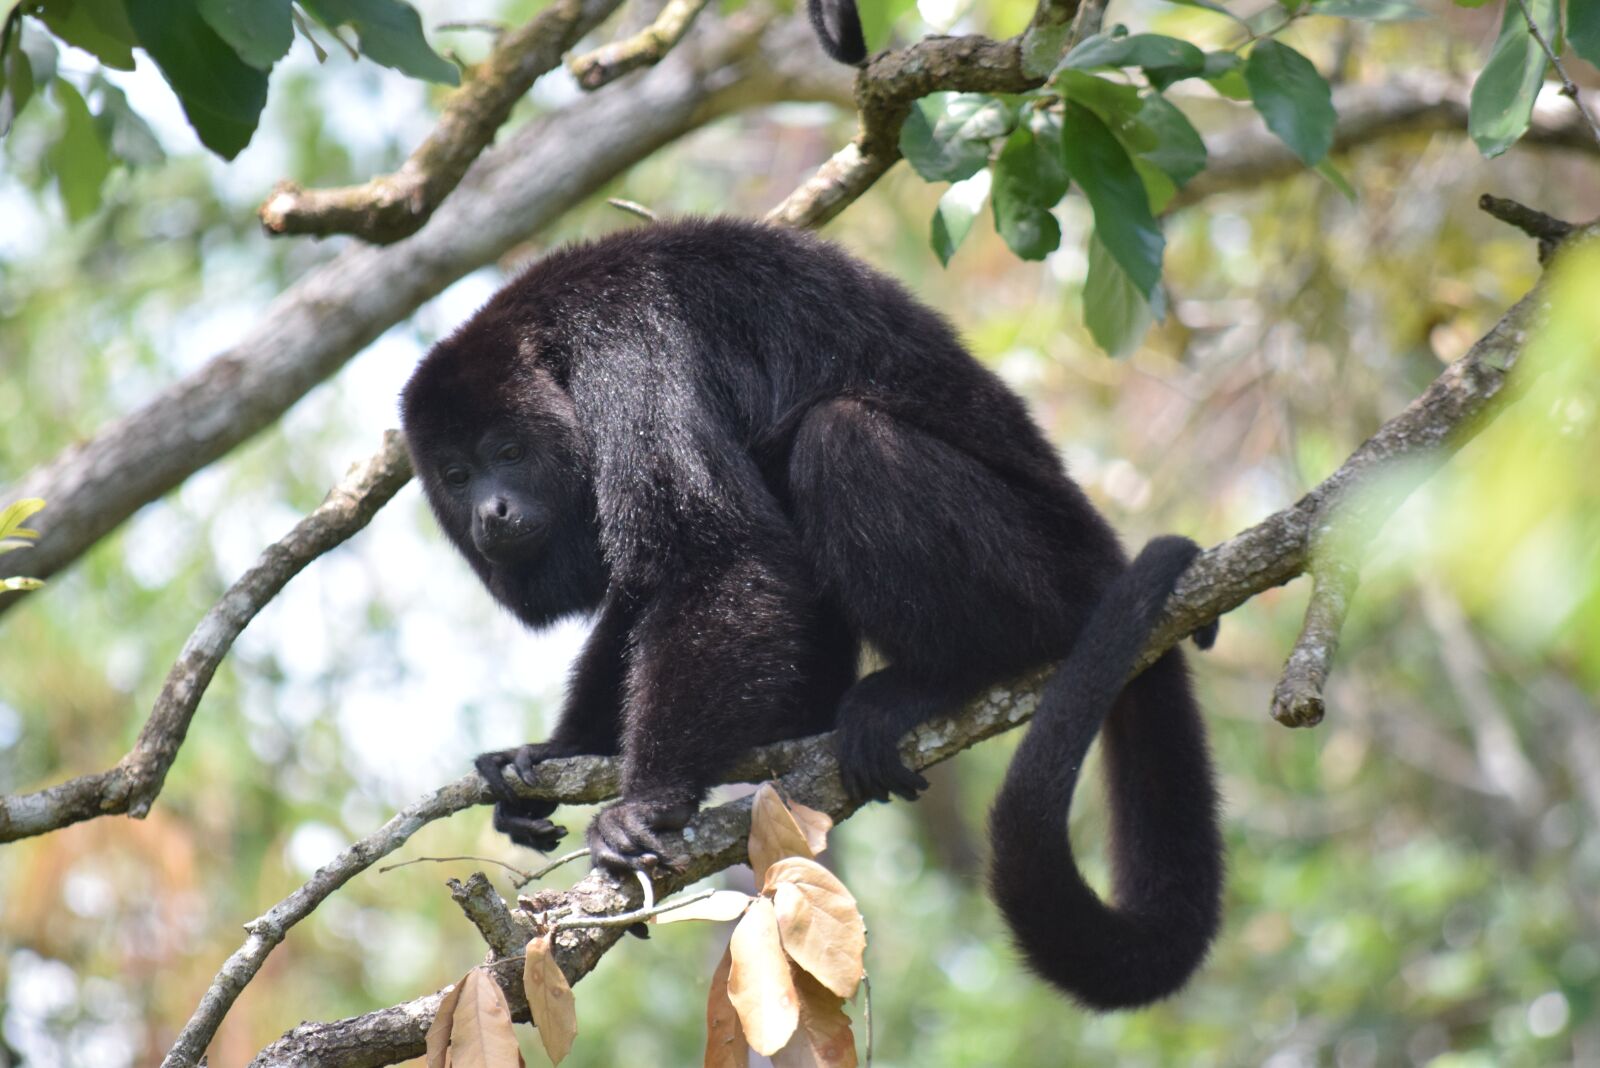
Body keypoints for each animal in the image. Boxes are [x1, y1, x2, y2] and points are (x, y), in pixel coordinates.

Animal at [400, 217, 1223, 1009]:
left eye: (508, 451)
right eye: (456, 473)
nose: (492, 510)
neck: (557, 344)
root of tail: (1102, 560)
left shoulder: (629, 355)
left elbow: (720, 557)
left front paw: (646, 802)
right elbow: (648, 588)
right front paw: (550, 755)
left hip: (1042, 572)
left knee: (839, 437)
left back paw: (942, 679)